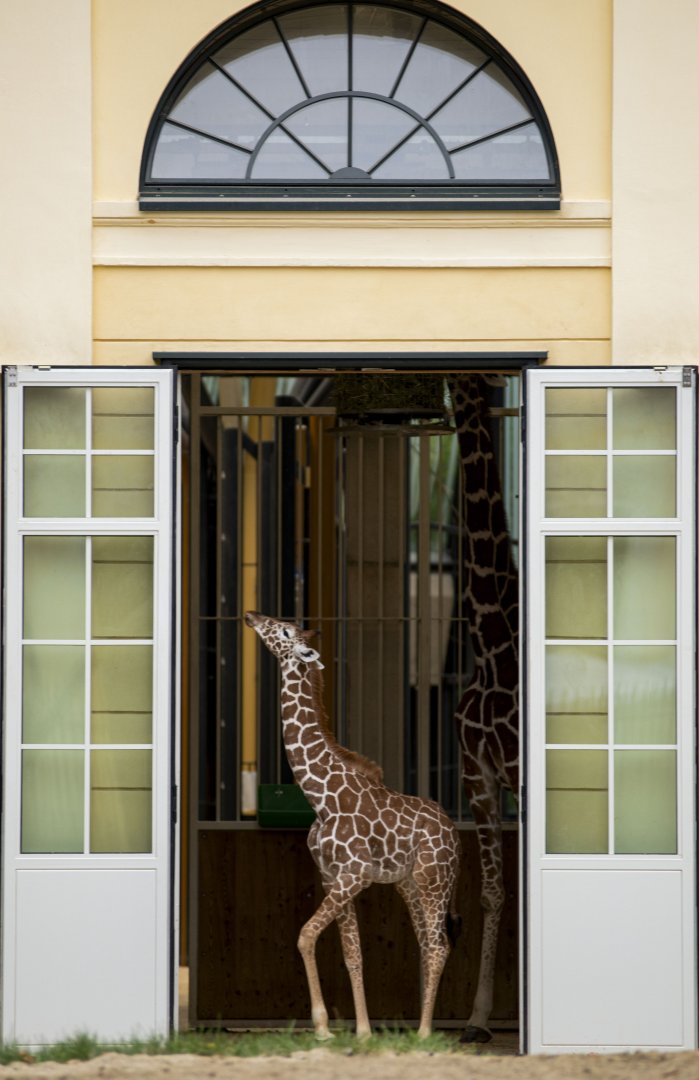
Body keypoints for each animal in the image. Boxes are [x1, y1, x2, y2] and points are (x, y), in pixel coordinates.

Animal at [245, 610, 461, 1040]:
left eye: (285, 631)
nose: (252, 615)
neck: (320, 797)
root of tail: (454, 833)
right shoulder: (333, 877)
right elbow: (351, 953)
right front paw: (361, 1031)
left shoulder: (354, 875)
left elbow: (305, 935)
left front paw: (323, 1028)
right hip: (407, 883)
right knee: (427, 943)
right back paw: (419, 1027)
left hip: (434, 879)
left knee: (438, 945)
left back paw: (424, 1033)